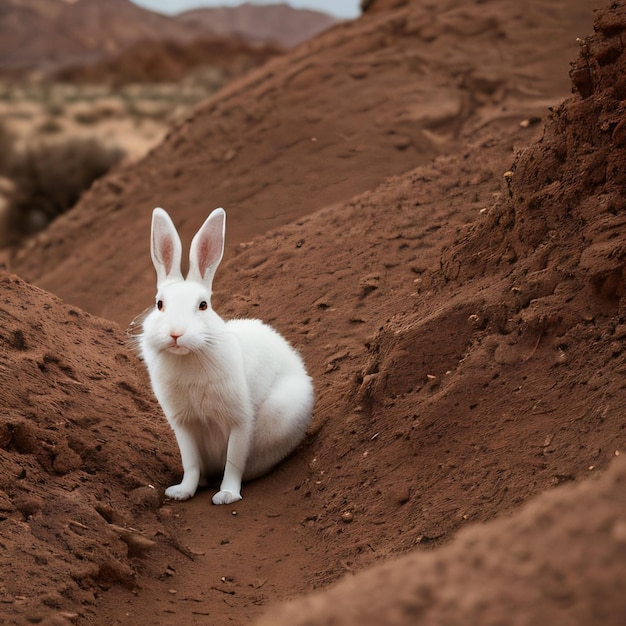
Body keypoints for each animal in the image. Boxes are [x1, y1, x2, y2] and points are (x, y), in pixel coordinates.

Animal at [136, 207, 312, 504]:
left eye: (203, 305)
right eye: (159, 304)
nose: (176, 334)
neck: (190, 354)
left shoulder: (239, 420)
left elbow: (234, 461)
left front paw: (227, 495)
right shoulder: (183, 425)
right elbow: (190, 463)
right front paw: (181, 492)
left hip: (281, 414)